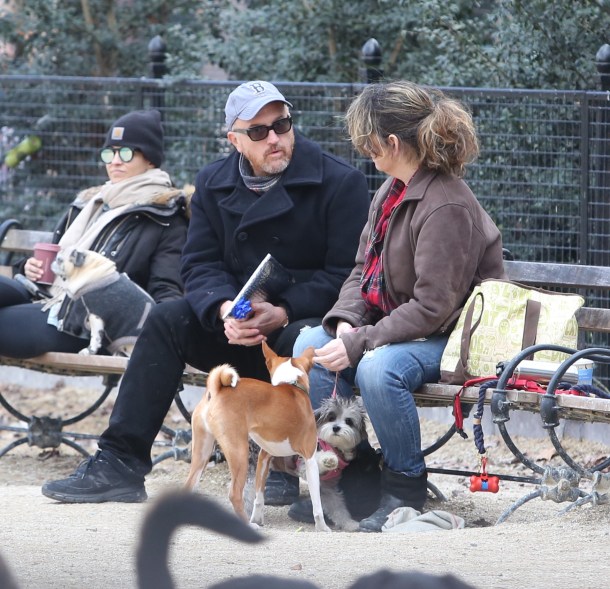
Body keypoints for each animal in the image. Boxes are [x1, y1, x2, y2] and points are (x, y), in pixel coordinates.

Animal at [184, 338, 330, 532]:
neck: (291, 383)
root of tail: (216, 390)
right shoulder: (310, 458)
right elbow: (317, 504)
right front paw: (323, 527)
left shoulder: (264, 456)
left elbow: (259, 497)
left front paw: (257, 518)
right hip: (239, 452)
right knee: (234, 494)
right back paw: (247, 525)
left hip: (202, 453)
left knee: (189, 485)